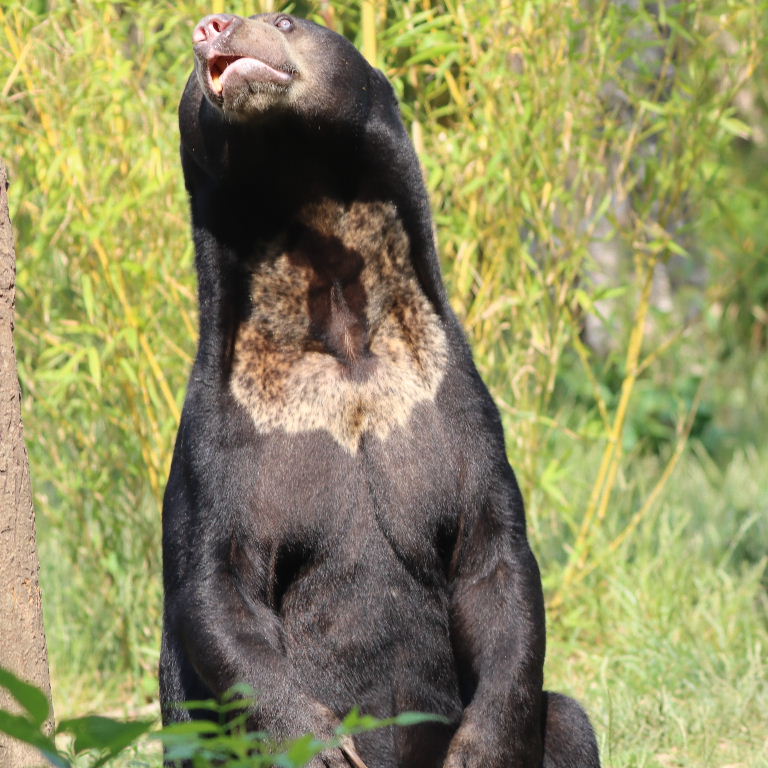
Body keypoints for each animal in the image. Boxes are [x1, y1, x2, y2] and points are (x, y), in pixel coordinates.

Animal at [159, 12, 600, 768]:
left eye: (284, 20)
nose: (213, 26)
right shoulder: (224, 434)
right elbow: (218, 588)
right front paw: (322, 745)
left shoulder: (450, 406)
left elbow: (495, 565)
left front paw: (479, 748)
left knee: (569, 721)